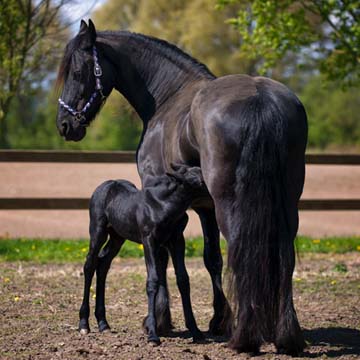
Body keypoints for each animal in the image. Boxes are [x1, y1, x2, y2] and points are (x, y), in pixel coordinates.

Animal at [80, 165, 207, 344]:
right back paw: (84, 324)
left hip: (117, 236)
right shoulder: (149, 241)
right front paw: (153, 334)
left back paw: (103, 323)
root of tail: (105, 185)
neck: (164, 206)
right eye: (200, 181)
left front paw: (195, 331)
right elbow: (152, 281)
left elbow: (183, 279)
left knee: (103, 263)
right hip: (98, 231)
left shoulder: (177, 241)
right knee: (90, 265)